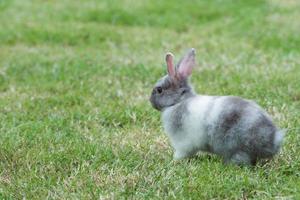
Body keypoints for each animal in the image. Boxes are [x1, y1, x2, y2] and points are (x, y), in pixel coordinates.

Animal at [150, 48, 284, 166]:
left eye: (159, 90)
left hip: (237, 146)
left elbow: (181, 153)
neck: (178, 101)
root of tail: (273, 139)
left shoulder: (182, 144)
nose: (151, 101)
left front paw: (174, 161)